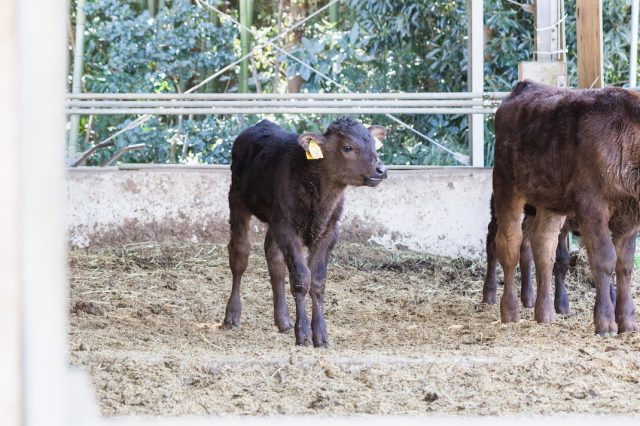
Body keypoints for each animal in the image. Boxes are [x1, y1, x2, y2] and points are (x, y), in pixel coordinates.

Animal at [222, 116, 388, 346]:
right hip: (237, 200)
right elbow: (301, 279)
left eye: (373, 144)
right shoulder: (288, 229)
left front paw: (321, 335)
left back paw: (283, 320)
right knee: (239, 255)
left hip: (275, 219)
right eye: (347, 147)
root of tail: (260, 124)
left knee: (274, 260)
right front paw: (303, 334)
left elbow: (317, 281)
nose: (381, 169)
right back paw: (232, 315)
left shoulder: (328, 232)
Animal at [492, 80, 636, 336]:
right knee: (509, 245)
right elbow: (605, 259)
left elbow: (625, 265)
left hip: (551, 201)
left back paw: (545, 313)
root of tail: (525, 86)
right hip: (505, 185)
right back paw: (510, 311)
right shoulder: (592, 206)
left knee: (544, 247)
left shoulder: (630, 214)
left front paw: (627, 322)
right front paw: (605, 323)